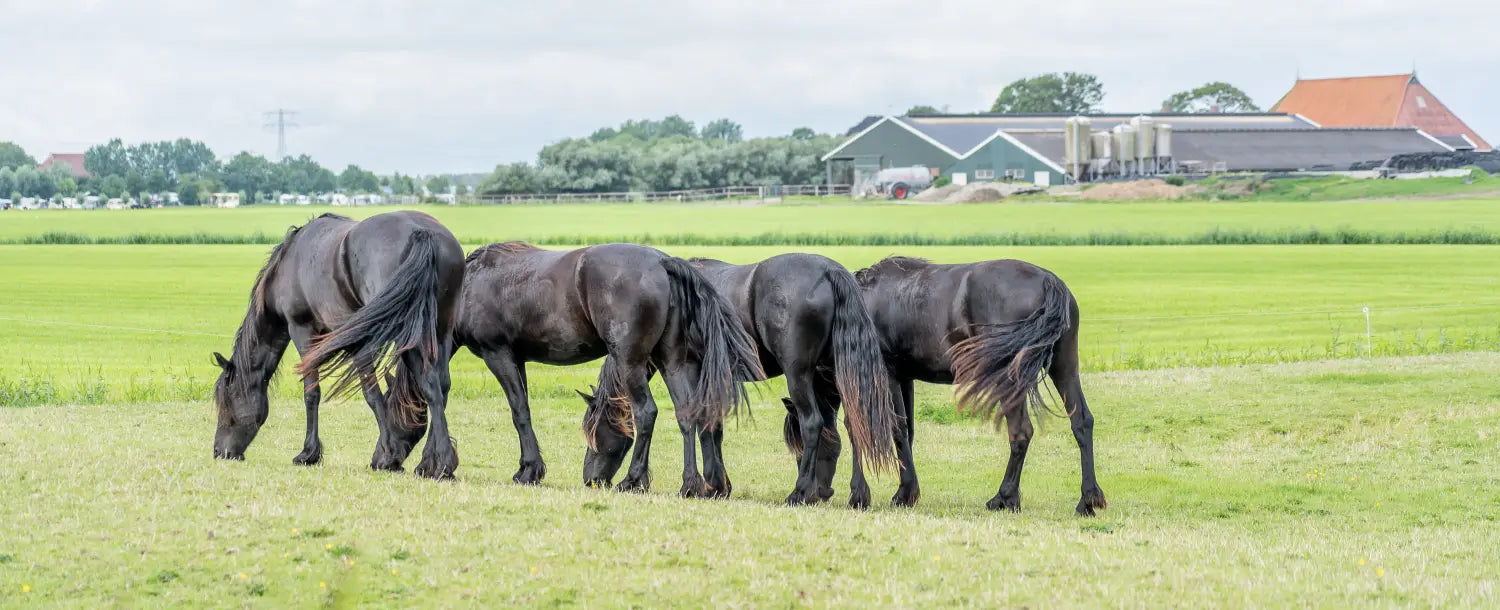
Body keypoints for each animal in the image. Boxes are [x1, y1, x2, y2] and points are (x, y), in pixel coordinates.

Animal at [211, 211, 466, 480]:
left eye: (227, 403)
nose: (219, 451)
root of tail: (422, 233)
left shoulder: (303, 331)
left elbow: (318, 393)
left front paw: (310, 453)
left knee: (429, 385)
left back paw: (438, 462)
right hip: (440, 330)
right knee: (441, 387)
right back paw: (433, 464)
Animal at [454, 241, 764, 496]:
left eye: (593, 432)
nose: (591, 480)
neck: (468, 285)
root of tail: (662, 262)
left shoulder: (499, 355)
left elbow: (520, 412)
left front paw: (529, 470)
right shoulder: (517, 360)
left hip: (630, 362)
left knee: (646, 413)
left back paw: (632, 480)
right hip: (672, 362)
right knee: (687, 413)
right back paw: (689, 485)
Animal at [687, 254, 901, 507]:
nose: (825, 491)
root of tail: (829, 271)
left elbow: (705, 425)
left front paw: (713, 485)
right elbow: (715, 428)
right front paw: (721, 485)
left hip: (797, 374)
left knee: (812, 422)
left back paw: (800, 492)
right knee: (854, 423)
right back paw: (857, 494)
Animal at [789, 255, 1106, 515]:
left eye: (801, 444)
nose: (819, 493)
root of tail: (1049, 282)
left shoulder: (887, 374)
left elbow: (891, 428)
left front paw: (897, 493)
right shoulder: (904, 378)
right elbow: (907, 431)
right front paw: (907, 490)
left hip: (1010, 377)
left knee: (1020, 432)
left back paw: (1004, 498)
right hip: (1064, 368)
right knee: (1081, 422)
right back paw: (1088, 499)